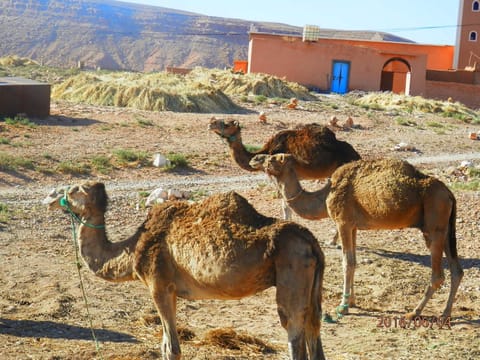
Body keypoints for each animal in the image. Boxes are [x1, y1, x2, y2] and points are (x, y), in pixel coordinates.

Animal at [47, 181, 326, 360]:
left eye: (73, 189)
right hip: (312, 283)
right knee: (314, 327)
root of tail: (310, 240)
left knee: (292, 325)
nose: (49, 198)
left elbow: (172, 349)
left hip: (292, 268)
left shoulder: (159, 285)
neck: (133, 248)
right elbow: (164, 345)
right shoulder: (171, 291)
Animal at [249, 153, 464, 320]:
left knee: (438, 275)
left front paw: (343, 307)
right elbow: (354, 261)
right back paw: (445, 313)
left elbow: (347, 262)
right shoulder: (353, 226)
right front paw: (351, 301)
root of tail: (449, 194)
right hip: (444, 228)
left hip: (434, 224)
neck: (325, 195)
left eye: (274, 158)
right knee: (457, 270)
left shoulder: (343, 222)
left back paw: (414, 312)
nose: (254, 159)